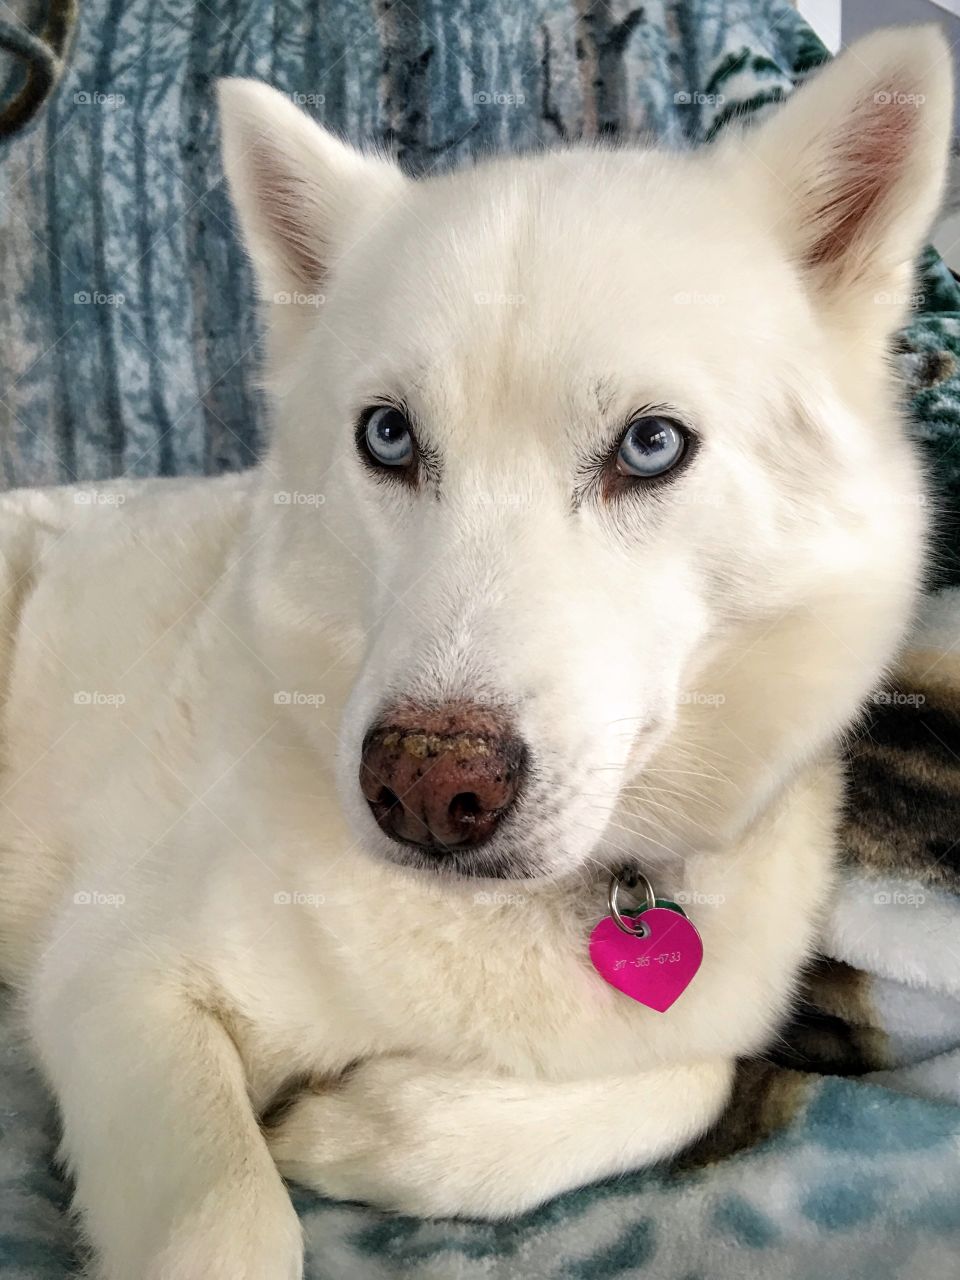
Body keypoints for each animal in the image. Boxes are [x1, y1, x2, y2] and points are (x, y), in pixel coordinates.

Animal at [0, 27, 952, 1280]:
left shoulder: (701, 1022)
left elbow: (692, 1080)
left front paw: (363, 1124)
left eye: (651, 445)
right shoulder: (111, 976)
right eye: (388, 435)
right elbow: (229, 1214)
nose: (423, 784)